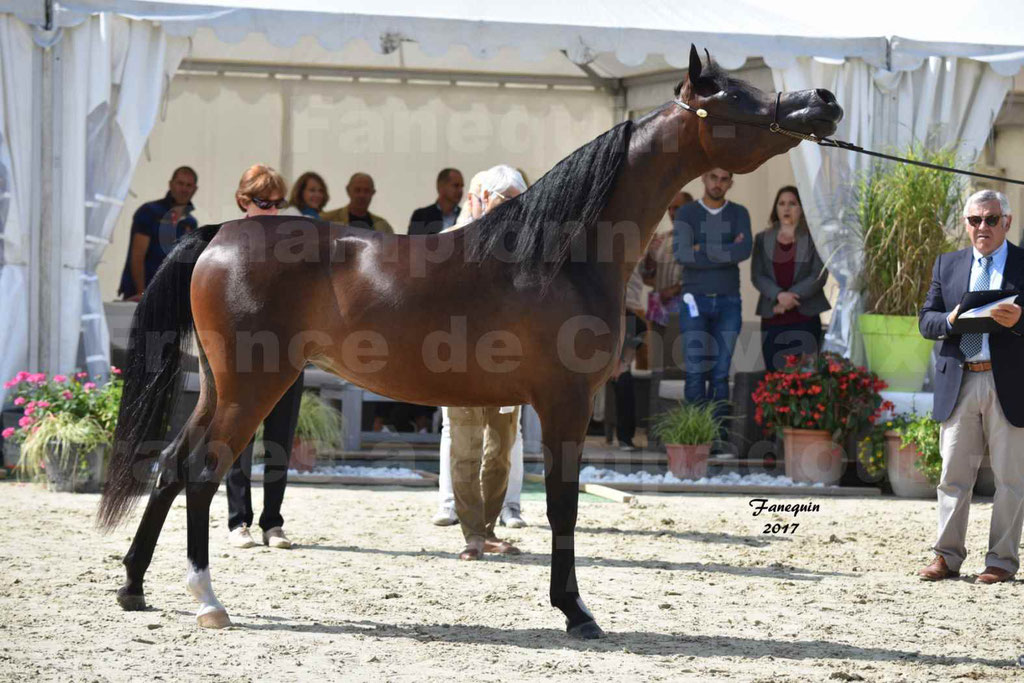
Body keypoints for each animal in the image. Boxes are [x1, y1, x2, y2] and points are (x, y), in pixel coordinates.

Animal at [99, 48, 843, 643]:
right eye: (734, 96)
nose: (823, 102)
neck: (560, 255)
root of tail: (218, 233)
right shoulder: (567, 402)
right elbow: (564, 503)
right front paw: (577, 612)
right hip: (254, 385)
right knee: (202, 469)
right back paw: (207, 599)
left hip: (222, 384)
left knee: (170, 464)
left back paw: (135, 587)